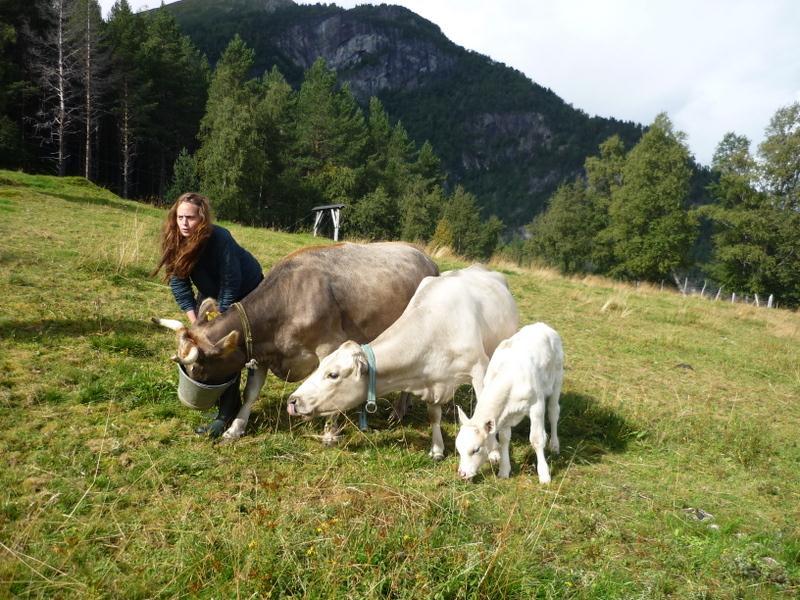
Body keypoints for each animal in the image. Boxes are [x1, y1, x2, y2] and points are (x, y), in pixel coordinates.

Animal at [155, 243, 438, 440]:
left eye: (196, 368)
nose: (188, 401)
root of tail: (425, 256)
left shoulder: (329, 346)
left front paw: (329, 433)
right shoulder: (262, 353)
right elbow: (250, 393)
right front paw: (235, 428)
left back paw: (398, 412)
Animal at [286, 264, 520, 458]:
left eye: (333, 374)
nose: (292, 401)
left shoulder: (479, 368)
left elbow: (486, 412)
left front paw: (494, 453)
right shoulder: (432, 380)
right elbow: (434, 415)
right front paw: (437, 449)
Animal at [456, 324, 564, 482]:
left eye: (476, 449)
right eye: (458, 448)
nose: (462, 474)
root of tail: (542, 325)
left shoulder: (536, 405)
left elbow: (537, 439)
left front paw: (544, 475)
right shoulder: (505, 413)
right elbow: (504, 439)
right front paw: (504, 470)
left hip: (557, 377)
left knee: (553, 412)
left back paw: (555, 445)